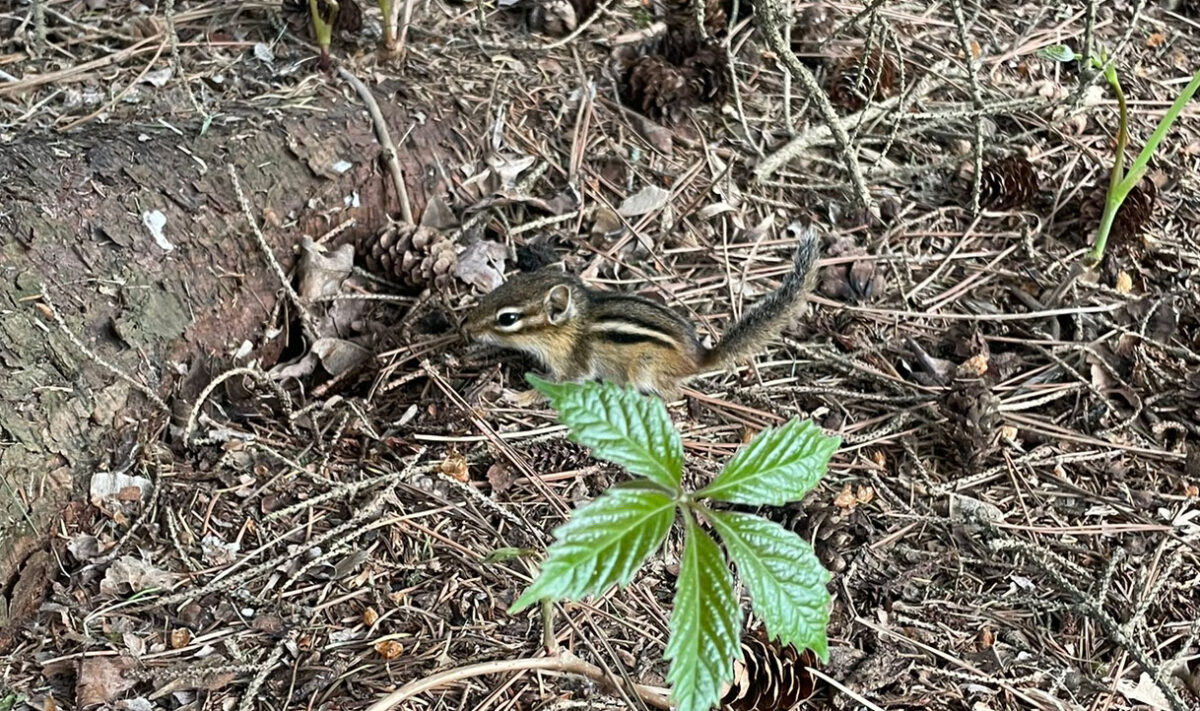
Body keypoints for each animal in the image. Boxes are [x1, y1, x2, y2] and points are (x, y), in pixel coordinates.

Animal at [465, 226, 821, 401]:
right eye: (505, 285)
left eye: (508, 319)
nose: (465, 326)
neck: (571, 327)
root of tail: (699, 358)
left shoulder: (574, 366)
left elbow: (553, 386)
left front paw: (517, 396)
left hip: (645, 368)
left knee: (673, 395)